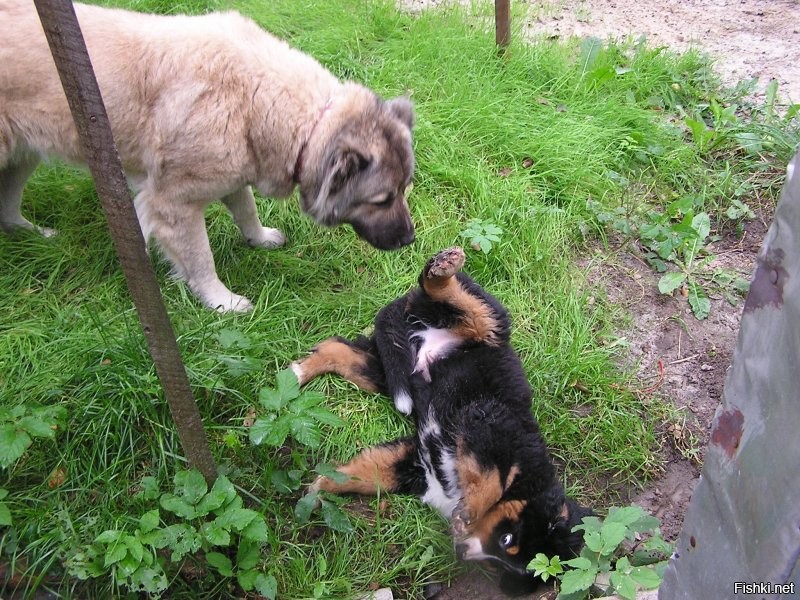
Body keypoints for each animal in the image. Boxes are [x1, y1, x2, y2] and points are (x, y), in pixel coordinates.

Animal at [0, 0, 412, 310]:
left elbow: (246, 210)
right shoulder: (174, 205)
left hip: (23, 155)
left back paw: (33, 236)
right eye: (382, 199)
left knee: (7, 208)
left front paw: (259, 239)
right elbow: (200, 260)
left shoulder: (234, 174)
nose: (410, 240)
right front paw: (220, 302)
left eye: (406, 190)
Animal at [290, 247, 592, 592]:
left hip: (388, 369)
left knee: (340, 348)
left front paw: (319, 489)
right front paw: (469, 512)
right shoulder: (490, 424)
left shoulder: (416, 465)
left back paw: (299, 371)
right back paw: (443, 268)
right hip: (485, 325)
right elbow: (491, 480)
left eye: (498, 563)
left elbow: (364, 473)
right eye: (507, 539)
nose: (462, 551)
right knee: (469, 307)